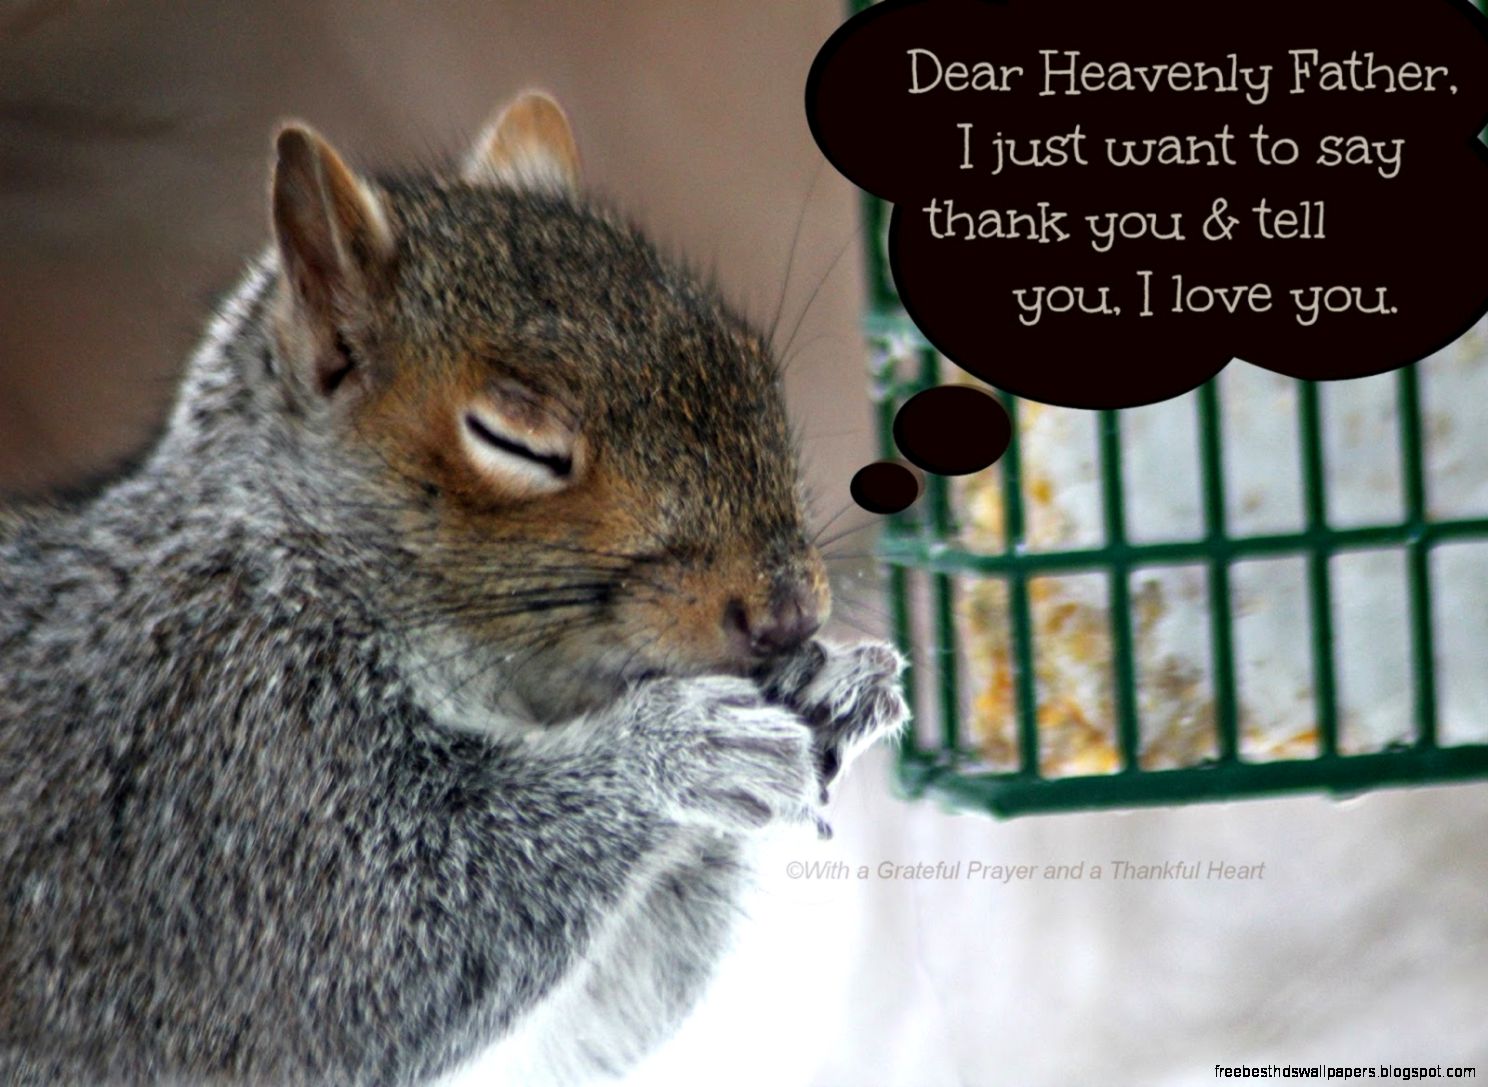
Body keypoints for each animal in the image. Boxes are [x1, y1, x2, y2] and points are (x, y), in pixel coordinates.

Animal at [0, 92, 907, 1086]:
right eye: (515, 441)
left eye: (753, 362)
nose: (789, 613)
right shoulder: (238, 751)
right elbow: (390, 937)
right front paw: (680, 748)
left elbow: (600, 1013)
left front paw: (836, 685)